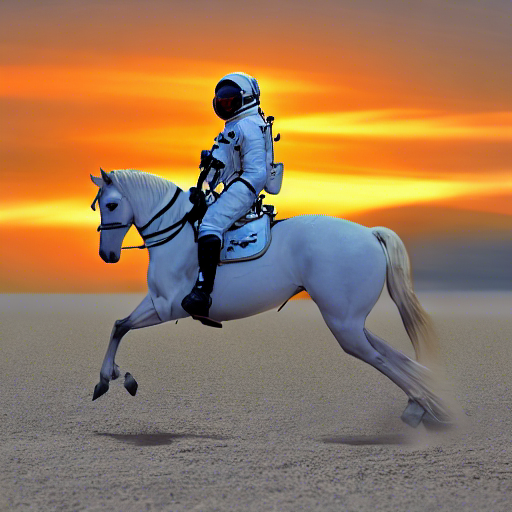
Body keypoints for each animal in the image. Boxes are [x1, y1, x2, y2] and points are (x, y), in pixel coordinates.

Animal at [90, 168, 450, 428]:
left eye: (111, 205)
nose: (107, 255)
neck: (177, 233)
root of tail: (369, 233)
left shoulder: (167, 307)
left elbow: (122, 326)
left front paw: (110, 378)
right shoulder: (156, 301)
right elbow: (119, 326)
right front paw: (114, 378)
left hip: (344, 326)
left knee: (381, 359)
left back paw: (426, 408)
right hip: (349, 321)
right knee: (394, 356)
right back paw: (422, 407)